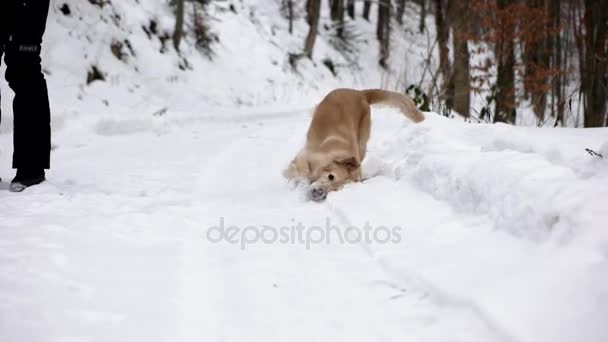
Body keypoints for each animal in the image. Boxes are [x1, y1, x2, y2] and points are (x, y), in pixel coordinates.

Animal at [284, 88, 422, 200]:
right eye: (331, 177)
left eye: (336, 190)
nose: (318, 193)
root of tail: (360, 93)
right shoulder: (306, 154)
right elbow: (302, 170)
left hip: (362, 144)